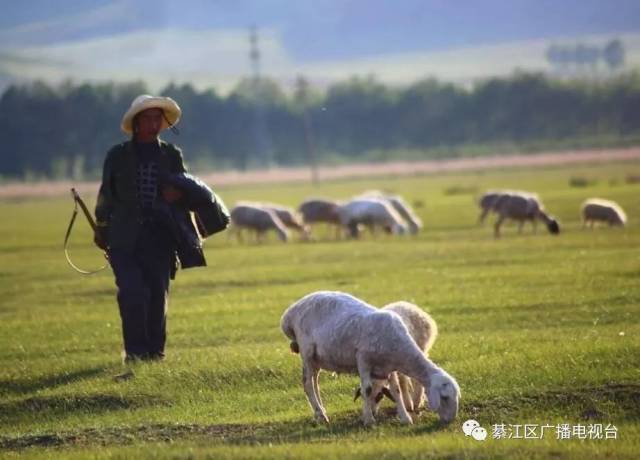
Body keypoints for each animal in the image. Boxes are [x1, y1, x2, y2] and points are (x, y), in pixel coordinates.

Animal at [280, 292, 460, 426]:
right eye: (444, 397)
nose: (450, 421)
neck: (401, 350)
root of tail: (289, 313)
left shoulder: (389, 367)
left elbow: (396, 390)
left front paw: (405, 418)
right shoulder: (363, 359)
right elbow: (366, 389)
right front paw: (368, 420)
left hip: (318, 358)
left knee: (315, 382)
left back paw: (321, 412)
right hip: (307, 352)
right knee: (308, 384)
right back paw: (321, 414)